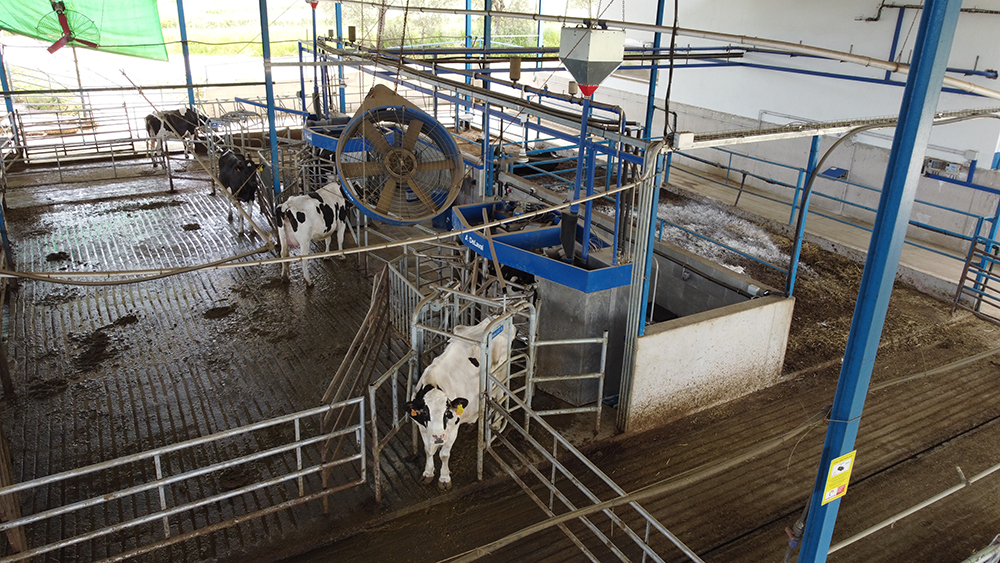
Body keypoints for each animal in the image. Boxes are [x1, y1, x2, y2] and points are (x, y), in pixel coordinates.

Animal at [406, 320, 516, 492]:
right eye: (424, 412)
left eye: (447, 413)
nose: (439, 437)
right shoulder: (423, 428)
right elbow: (428, 450)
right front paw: (428, 473)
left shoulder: (452, 429)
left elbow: (444, 454)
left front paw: (444, 479)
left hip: (500, 377)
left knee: (499, 397)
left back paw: (497, 425)